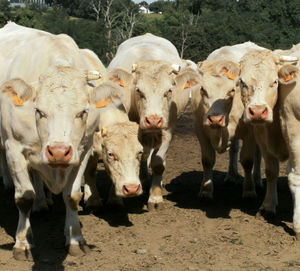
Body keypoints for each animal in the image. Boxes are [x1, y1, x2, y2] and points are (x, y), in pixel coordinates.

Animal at [106, 33, 200, 209]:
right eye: (138, 90)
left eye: (169, 90)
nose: (154, 120)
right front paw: (115, 198)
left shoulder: (168, 131)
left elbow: (157, 163)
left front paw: (155, 197)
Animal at [192, 42, 264, 200]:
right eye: (203, 89)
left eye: (231, 91)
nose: (215, 119)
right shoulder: (200, 131)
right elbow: (207, 160)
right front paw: (206, 190)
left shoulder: (250, 134)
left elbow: (248, 161)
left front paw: (249, 190)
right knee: (234, 150)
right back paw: (231, 176)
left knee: (258, 154)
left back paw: (257, 180)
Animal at [239, 48, 298, 221]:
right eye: (242, 82)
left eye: (274, 82)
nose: (258, 112)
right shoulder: (261, 138)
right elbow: (271, 171)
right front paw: (268, 205)